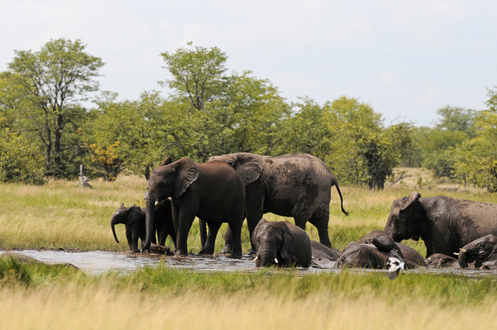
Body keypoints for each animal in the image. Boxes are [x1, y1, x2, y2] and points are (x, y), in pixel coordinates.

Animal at [207, 152, 346, 250]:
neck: (234, 156)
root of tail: (331, 175)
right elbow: (241, 214)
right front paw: (226, 252)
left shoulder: (256, 185)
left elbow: (253, 214)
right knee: (322, 225)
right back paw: (327, 247)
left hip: (313, 190)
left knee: (300, 216)